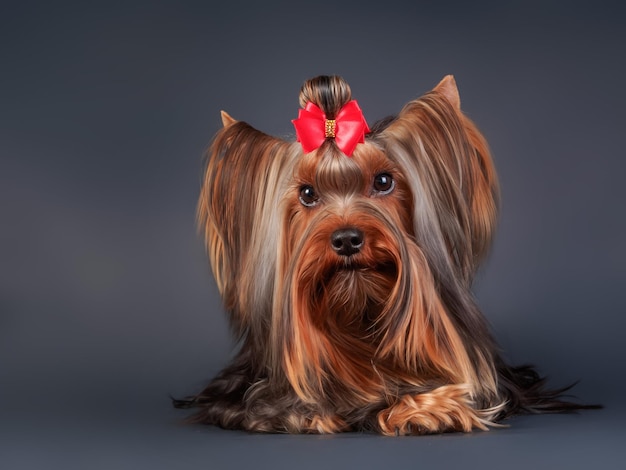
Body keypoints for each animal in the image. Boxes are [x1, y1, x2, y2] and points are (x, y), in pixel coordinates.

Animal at [173, 76, 592, 434]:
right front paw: (313, 411)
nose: (346, 239)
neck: (359, 319)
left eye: (384, 181)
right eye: (307, 194)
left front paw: (431, 407)